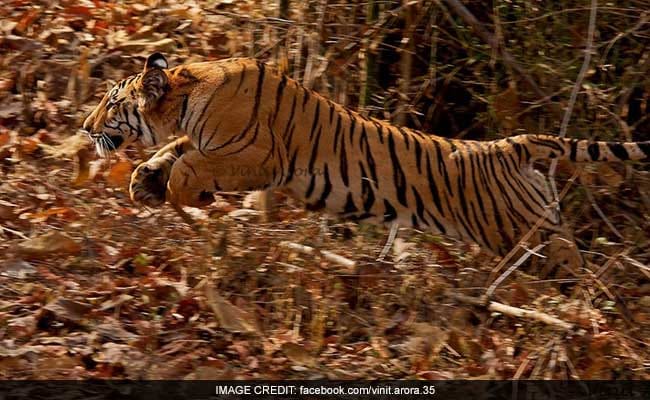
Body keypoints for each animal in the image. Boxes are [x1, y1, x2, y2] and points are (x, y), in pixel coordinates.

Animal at [82, 52, 650, 267]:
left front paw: (182, 194)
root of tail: (511, 144)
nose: (85, 128)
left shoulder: (257, 156)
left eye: (110, 104)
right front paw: (145, 181)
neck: (187, 89)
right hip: (538, 221)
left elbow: (191, 162)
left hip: (524, 234)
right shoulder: (211, 142)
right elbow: (173, 151)